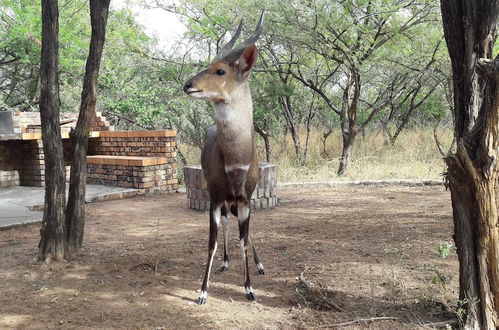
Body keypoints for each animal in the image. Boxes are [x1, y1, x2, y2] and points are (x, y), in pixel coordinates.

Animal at [184, 11, 268, 306]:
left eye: (220, 70)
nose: (187, 85)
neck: (236, 161)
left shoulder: (244, 199)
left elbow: (244, 239)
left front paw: (250, 289)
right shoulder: (215, 197)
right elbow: (211, 241)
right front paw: (202, 292)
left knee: (243, 232)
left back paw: (260, 265)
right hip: (223, 202)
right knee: (227, 224)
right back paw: (225, 261)